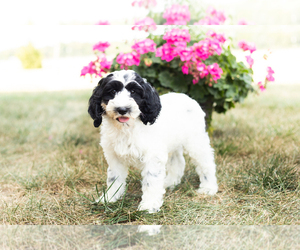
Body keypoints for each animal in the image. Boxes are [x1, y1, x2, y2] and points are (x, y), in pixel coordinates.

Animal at [88, 70, 217, 213]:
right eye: (112, 91)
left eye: (133, 91)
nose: (122, 109)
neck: (127, 128)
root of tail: (186, 97)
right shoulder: (114, 156)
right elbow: (114, 178)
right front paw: (109, 198)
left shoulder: (153, 157)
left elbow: (151, 180)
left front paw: (149, 205)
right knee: (178, 161)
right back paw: (170, 182)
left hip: (196, 140)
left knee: (206, 162)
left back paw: (208, 187)